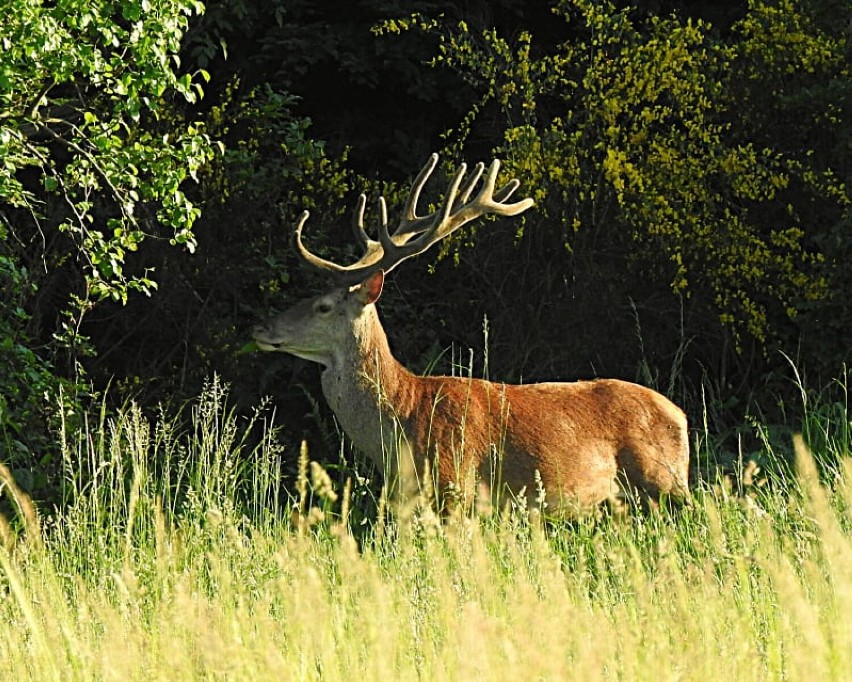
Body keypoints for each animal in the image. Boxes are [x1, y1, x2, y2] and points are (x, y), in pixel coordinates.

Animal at [255, 154, 692, 512]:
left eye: (323, 305)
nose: (260, 327)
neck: (402, 418)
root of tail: (681, 416)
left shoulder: (456, 483)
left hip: (664, 481)